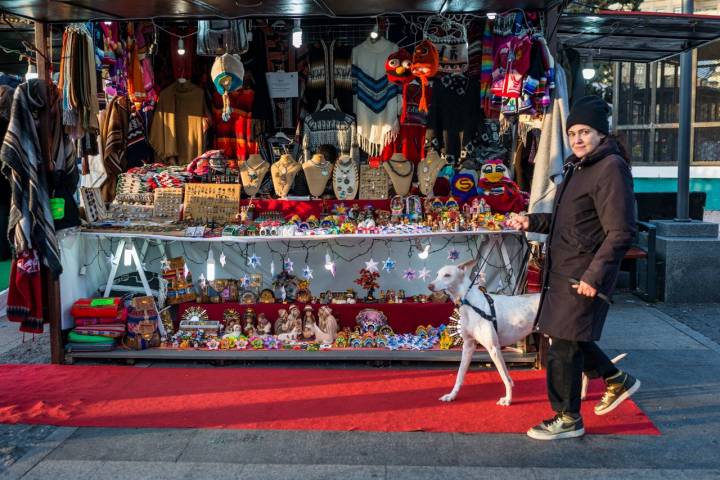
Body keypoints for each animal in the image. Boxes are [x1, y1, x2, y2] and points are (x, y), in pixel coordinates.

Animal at [428, 258, 540, 404]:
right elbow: (459, 375)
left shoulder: (494, 349)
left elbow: (505, 378)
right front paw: (452, 395)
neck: (470, 304)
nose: (429, 286)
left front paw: (508, 399)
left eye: (447, 275)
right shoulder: (468, 346)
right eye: (437, 274)